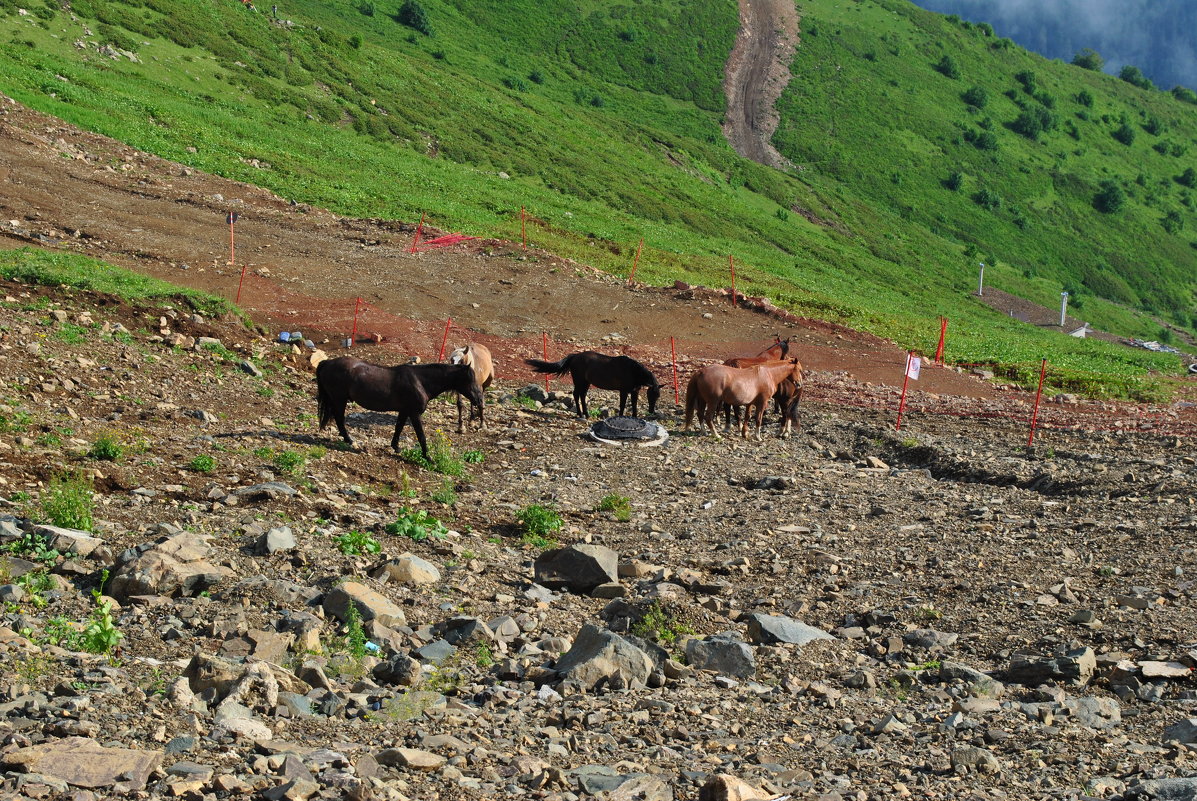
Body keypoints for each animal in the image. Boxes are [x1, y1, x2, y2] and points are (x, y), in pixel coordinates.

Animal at [320, 356, 488, 459]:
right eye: (470, 379)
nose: (480, 400)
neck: (420, 381)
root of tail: (327, 363)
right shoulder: (414, 413)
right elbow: (421, 436)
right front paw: (428, 457)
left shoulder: (404, 411)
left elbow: (398, 428)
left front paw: (396, 447)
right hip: (339, 399)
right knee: (339, 419)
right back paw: (350, 440)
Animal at [526, 352, 665, 421]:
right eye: (650, 394)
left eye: (658, 396)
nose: (651, 411)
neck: (633, 371)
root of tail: (574, 357)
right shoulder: (624, 391)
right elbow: (622, 405)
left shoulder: (634, 391)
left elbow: (634, 406)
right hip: (579, 381)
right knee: (577, 395)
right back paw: (581, 414)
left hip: (586, 383)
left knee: (581, 396)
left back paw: (585, 414)